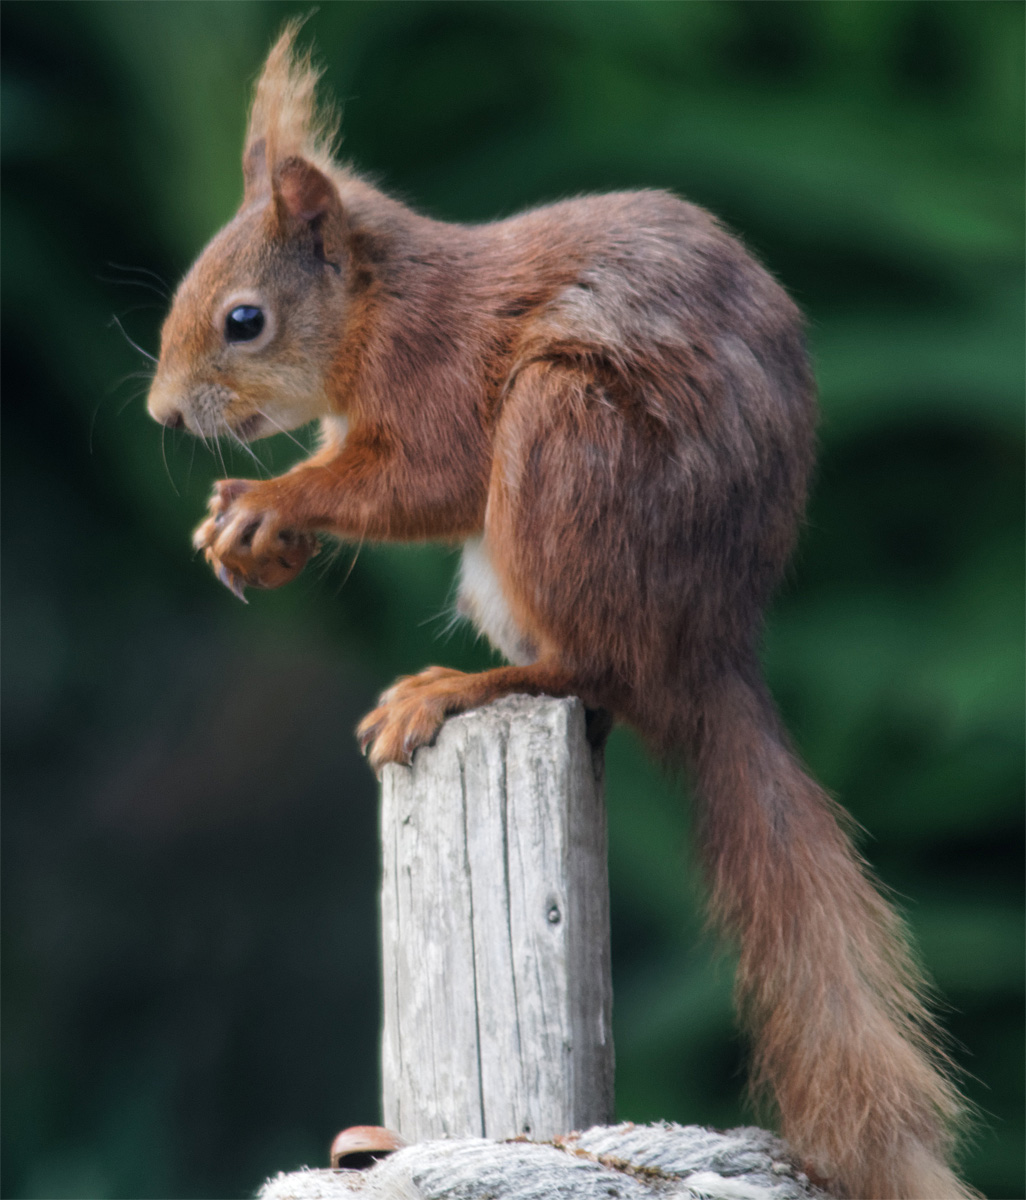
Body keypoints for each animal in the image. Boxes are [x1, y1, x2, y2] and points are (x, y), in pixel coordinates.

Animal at [147, 24, 973, 1200]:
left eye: (244, 322)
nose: (164, 413)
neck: (375, 308)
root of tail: (708, 649)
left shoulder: (439, 377)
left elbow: (422, 481)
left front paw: (269, 503)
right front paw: (250, 536)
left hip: (565, 441)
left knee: (589, 669)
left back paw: (455, 687)